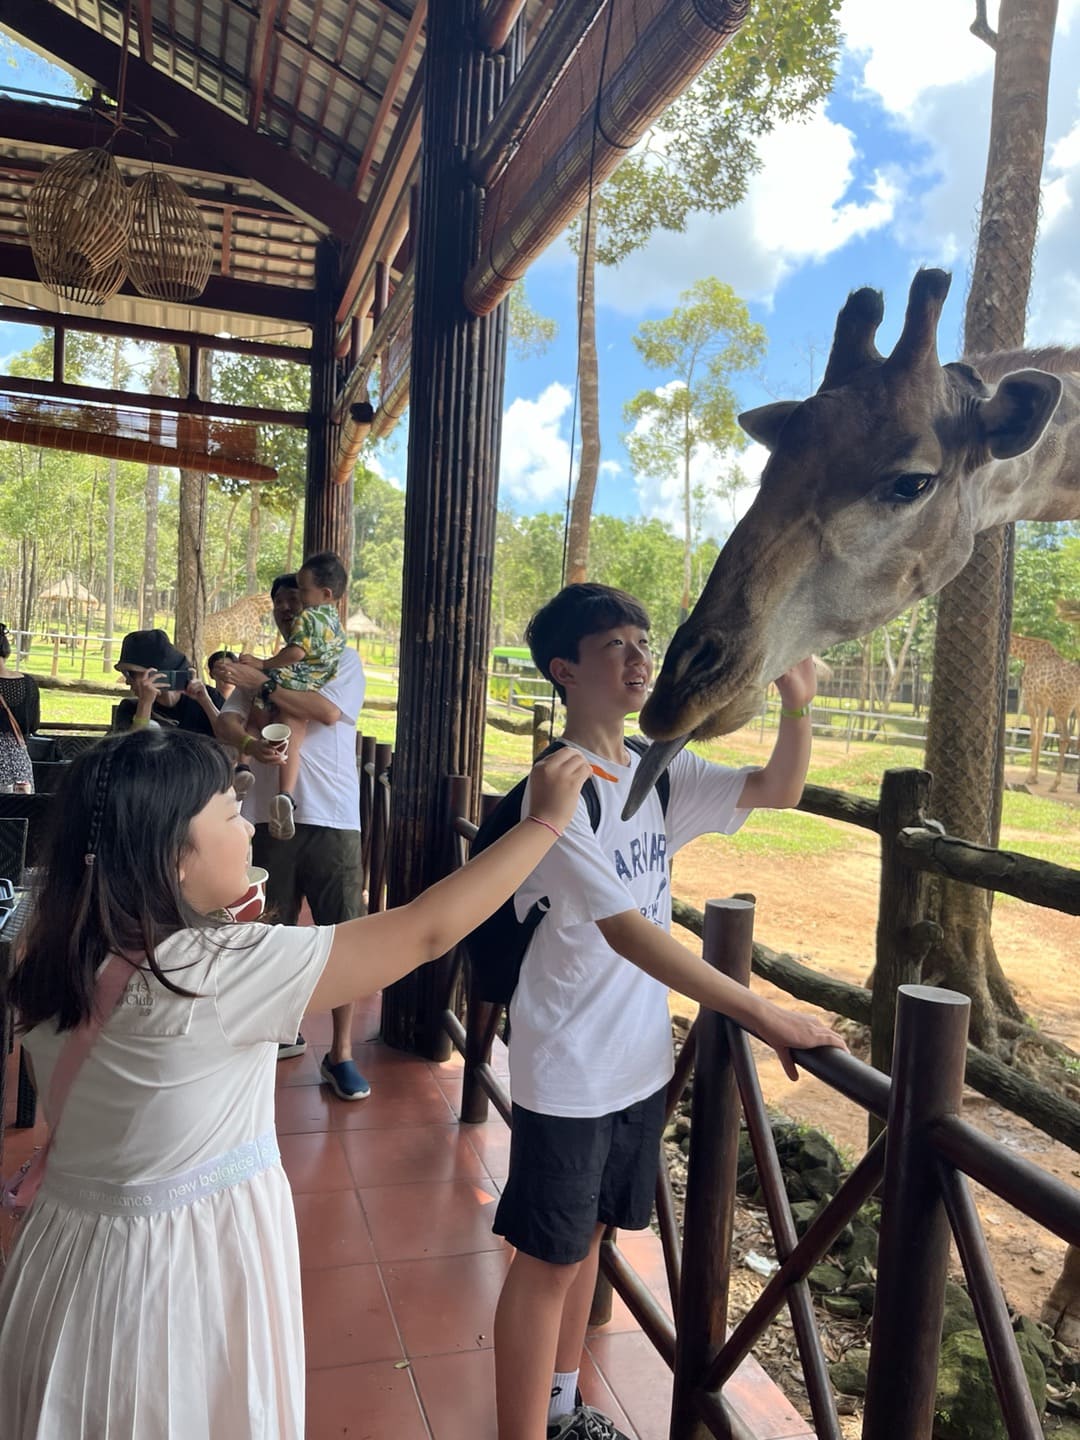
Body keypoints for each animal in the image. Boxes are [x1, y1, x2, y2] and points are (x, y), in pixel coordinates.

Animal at [1009, 635, 1080, 792]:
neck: (1028, 655)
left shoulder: (1030, 696)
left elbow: (1033, 736)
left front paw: (1030, 777)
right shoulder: (1044, 701)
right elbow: (1041, 735)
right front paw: (1035, 777)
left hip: (1062, 706)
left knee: (1065, 738)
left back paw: (1055, 784)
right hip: (1076, 707)